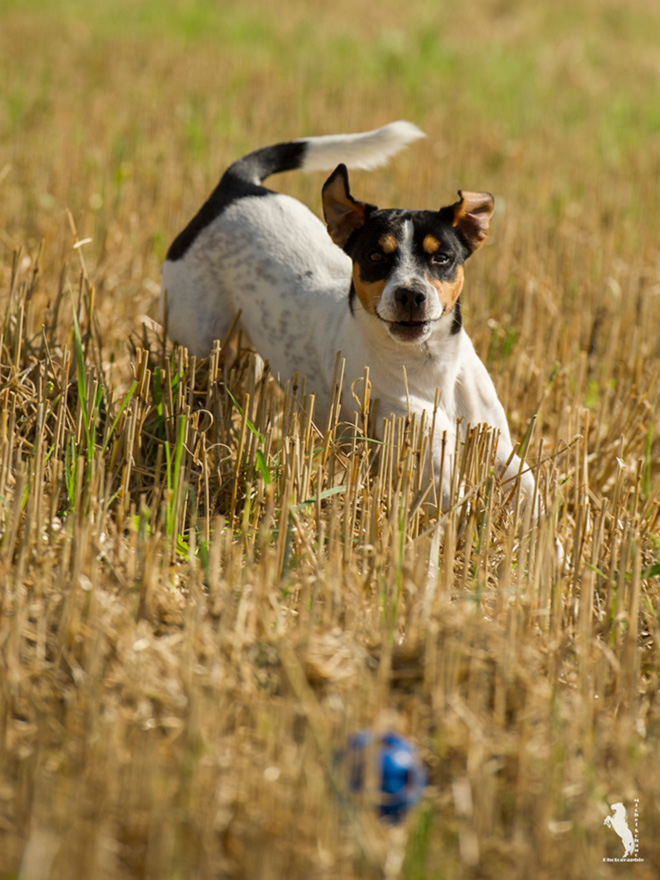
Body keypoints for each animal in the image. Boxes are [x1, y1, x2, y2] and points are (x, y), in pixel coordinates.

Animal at [162, 123, 540, 508]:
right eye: (375, 256)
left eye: (442, 257)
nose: (410, 295)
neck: (430, 366)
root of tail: (237, 186)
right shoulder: (431, 470)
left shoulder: (502, 451)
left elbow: (532, 501)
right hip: (201, 342)